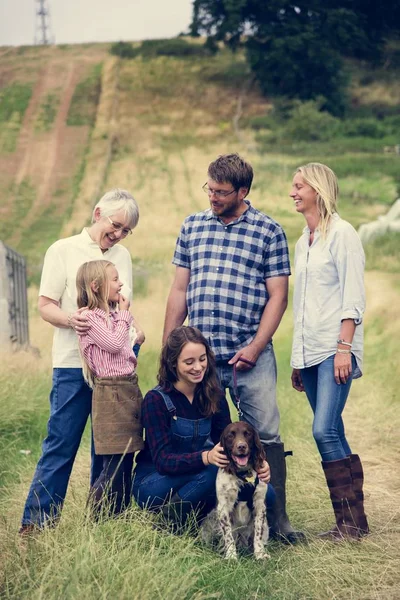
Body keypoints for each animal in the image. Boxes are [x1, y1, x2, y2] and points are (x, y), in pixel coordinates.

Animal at [202, 422, 270, 556]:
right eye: (230, 435)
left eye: (247, 434)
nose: (241, 446)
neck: (243, 473)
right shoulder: (223, 507)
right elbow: (228, 535)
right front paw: (231, 555)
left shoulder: (260, 504)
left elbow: (258, 533)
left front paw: (260, 554)